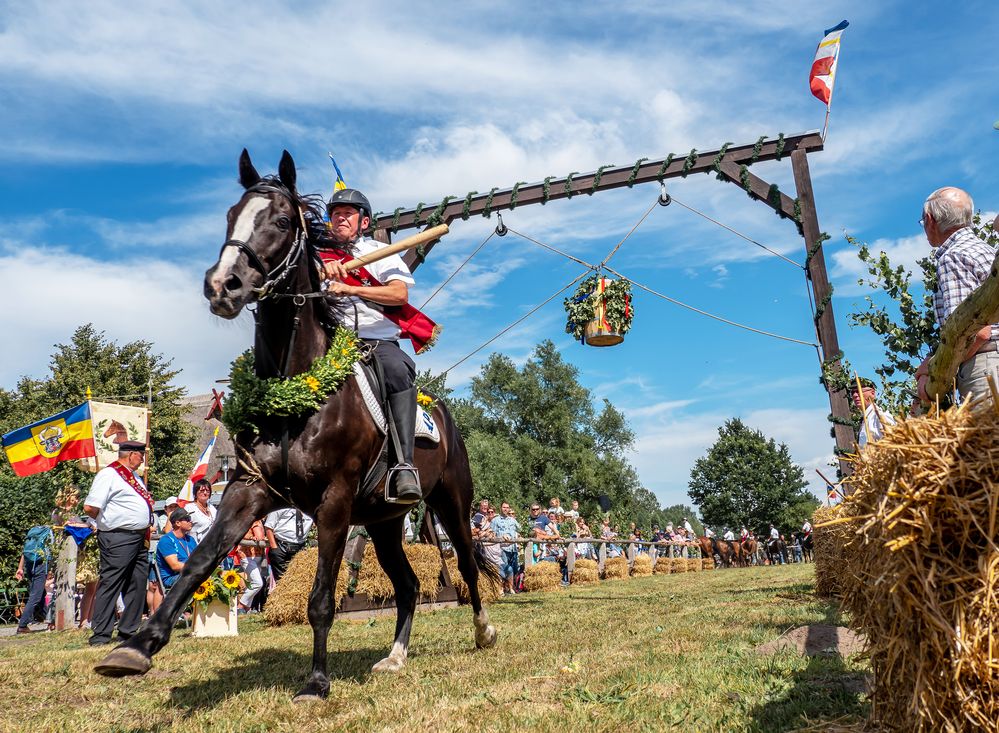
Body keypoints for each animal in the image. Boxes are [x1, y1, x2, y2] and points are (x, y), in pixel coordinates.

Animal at [94, 149, 500, 696]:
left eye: (283, 220)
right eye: (230, 215)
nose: (223, 285)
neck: (298, 389)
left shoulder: (334, 502)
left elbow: (321, 597)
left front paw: (317, 680)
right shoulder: (248, 490)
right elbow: (200, 561)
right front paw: (137, 645)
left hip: (450, 502)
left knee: (467, 565)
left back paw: (483, 632)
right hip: (384, 521)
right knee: (409, 585)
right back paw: (395, 656)